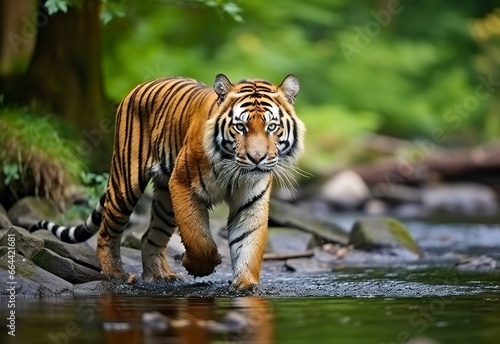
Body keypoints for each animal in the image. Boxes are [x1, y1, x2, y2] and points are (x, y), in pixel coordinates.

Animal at [32, 74, 304, 292]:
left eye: (272, 127)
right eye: (240, 126)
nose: (257, 159)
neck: (236, 171)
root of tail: (140, 85)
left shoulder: (251, 200)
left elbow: (249, 242)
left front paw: (245, 284)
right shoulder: (183, 184)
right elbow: (197, 238)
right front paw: (201, 266)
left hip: (165, 200)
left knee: (148, 237)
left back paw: (160, 276)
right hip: (126, 184)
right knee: (108, 230)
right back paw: (115, 273)